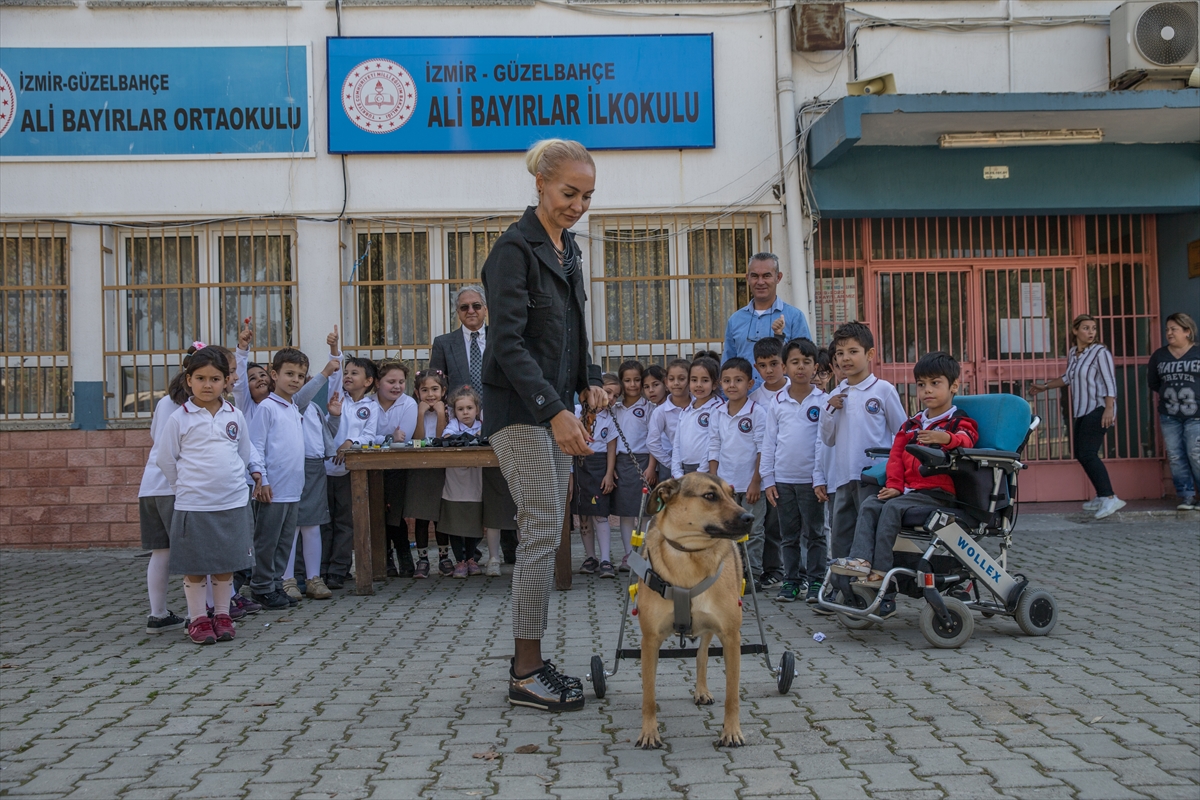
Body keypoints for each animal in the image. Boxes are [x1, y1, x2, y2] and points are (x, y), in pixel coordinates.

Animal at [638, 472, 748, 748]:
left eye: (732, 493)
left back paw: (702, 690)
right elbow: (648, 694)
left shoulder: (731, 637)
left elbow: (732, 694)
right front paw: (649, 732)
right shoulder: (649, 639)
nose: (749, 518)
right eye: (710, 495)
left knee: (702, 655)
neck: (690, 555)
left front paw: (731, 732)